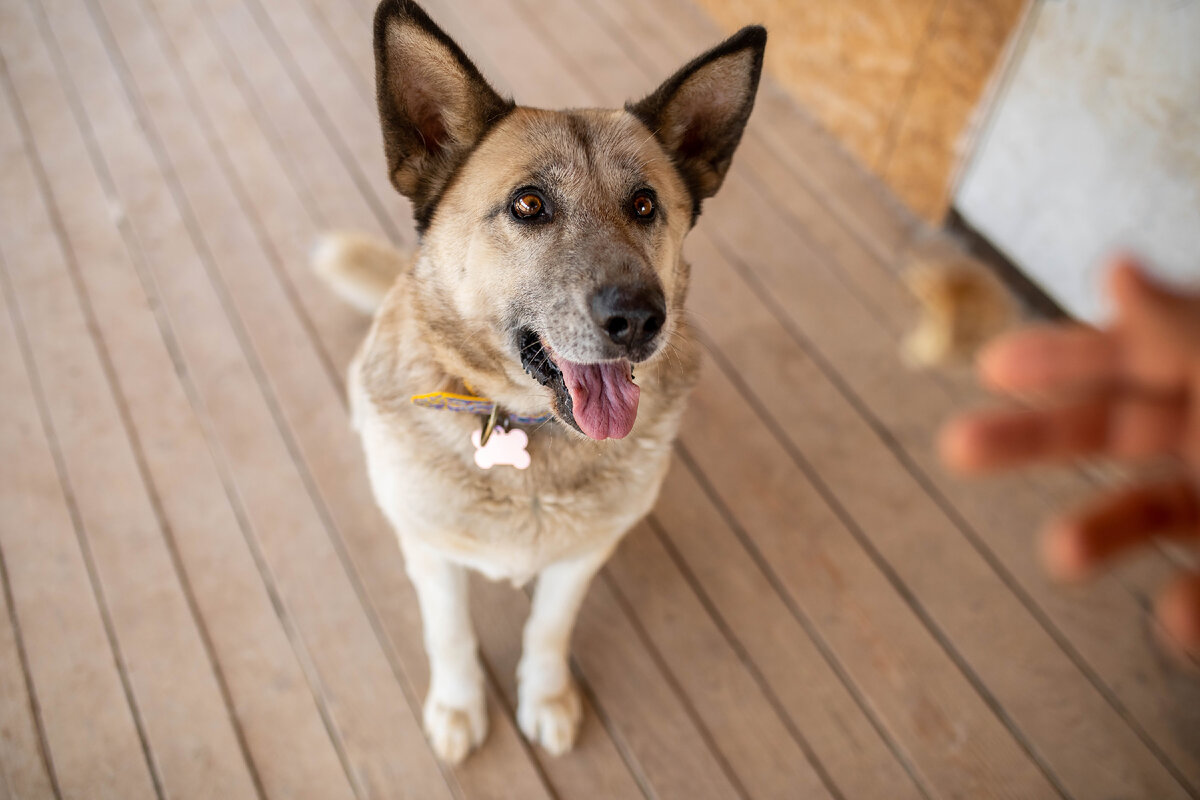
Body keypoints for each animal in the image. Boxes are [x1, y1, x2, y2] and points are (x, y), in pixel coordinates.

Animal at [314, 0, 763, 762]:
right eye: (528, 205)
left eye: (645, 205)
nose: (641, 319)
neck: (526, 431)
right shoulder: (431, 556)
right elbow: (450, 635)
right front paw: (459, 705)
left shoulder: (581, 558)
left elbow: (549, 629)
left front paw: (546, 697)